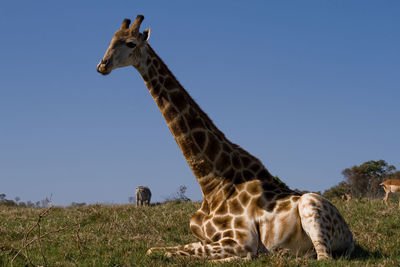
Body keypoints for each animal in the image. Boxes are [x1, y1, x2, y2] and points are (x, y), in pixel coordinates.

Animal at [97, 15, 354, 262]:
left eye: (130, 43)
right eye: (111, 39)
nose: (102, 65)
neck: (211, 183)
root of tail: (350, 236)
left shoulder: (241, 240)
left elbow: (175, 254)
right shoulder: (208, 238)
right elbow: (155, 250)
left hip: (311, 205)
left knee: (323, 257)